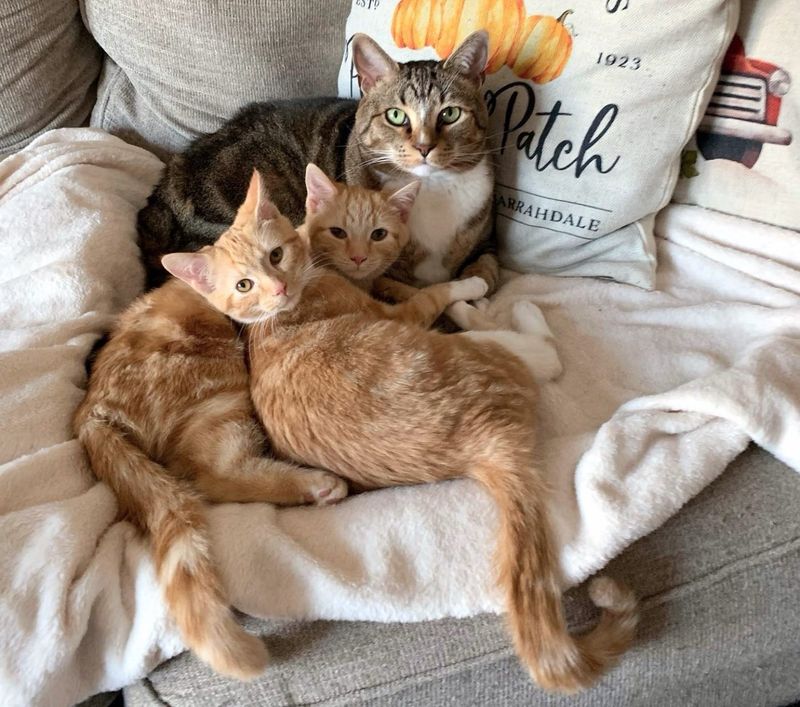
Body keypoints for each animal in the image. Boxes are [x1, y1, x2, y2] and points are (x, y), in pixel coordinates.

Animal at [74, 176, 350, 680]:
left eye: (275, 255)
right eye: (243, 285)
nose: (280, 287)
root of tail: (92, 412)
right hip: (223, 392)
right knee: (213, 477)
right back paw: (317, 485)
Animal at [139, 30, 500, 294]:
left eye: (450, 114)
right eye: (396, 116)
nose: (424, 146)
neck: (432, 188)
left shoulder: (487, 242)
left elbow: (486, 272)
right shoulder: (379, 273)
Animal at [238, 174, 636, 696]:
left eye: (379, 235)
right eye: (340, 232)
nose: (360, 259)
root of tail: (490, 447)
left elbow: (406, 287)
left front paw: (402, 280)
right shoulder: (400, 313)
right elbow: (437, 290)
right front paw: (468, 286)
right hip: (478, 349)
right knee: (544, 356)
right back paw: (496, 307)